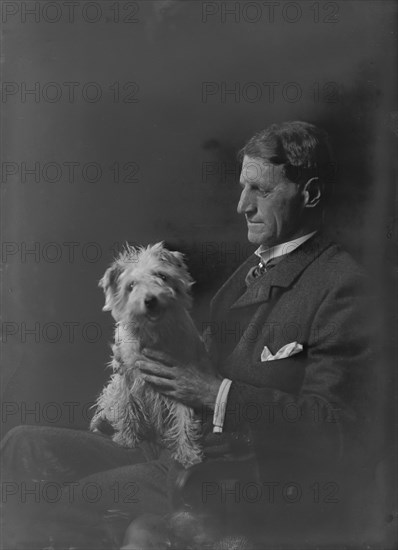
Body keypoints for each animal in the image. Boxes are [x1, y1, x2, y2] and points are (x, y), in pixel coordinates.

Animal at [91, 244, 208, 468]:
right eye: (131, 285)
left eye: (162, 276)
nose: (150, 300)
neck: (153, 333)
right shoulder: (126, 377)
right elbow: (126, 405)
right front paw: (126, 439)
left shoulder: (181, 382)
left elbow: (184, 419)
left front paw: (188, 454)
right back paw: (101, 423)